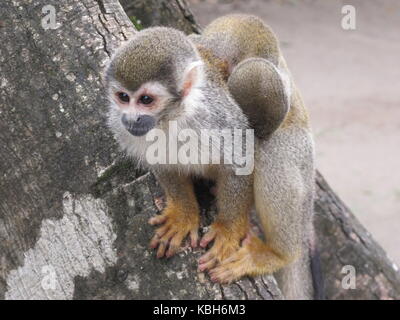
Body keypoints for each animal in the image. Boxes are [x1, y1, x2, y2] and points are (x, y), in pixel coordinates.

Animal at [105, 14, 316, 300]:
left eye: (146, 100)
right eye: (123, 97)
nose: (131, 119)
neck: (172, 119)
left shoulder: (217, 117)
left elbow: (241, 159)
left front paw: (228, 230)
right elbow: (162, 163)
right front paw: (183, 214)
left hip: (299, 149)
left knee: (269, 150)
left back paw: (278, 254)